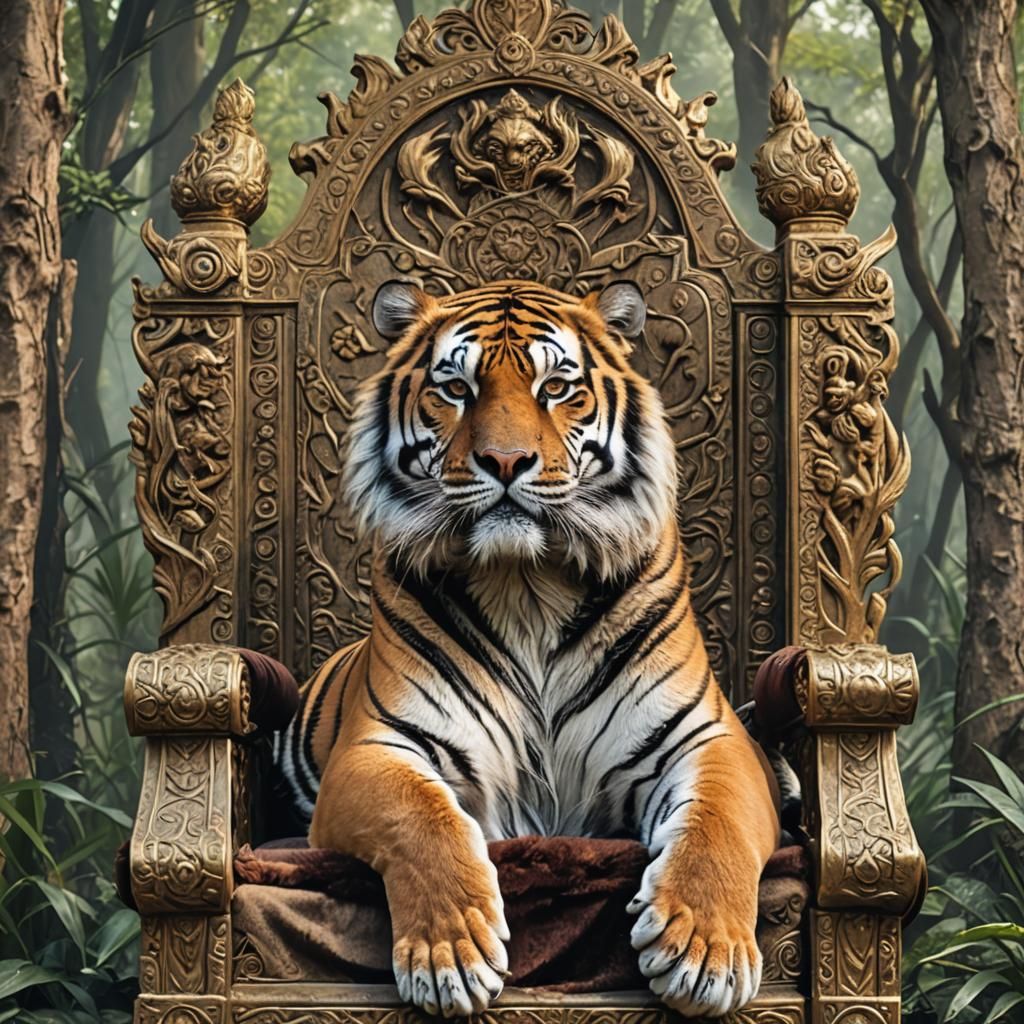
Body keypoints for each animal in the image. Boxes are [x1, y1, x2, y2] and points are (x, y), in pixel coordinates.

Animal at [274, 280, 780, 1019]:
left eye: (557, 387)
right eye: (456, 388)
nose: (506, 462)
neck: (527, 584)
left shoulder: (704, 737)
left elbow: (718, 824)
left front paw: (702, 953)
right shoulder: (378, 747)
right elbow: (421, 818)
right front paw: (451, 957)